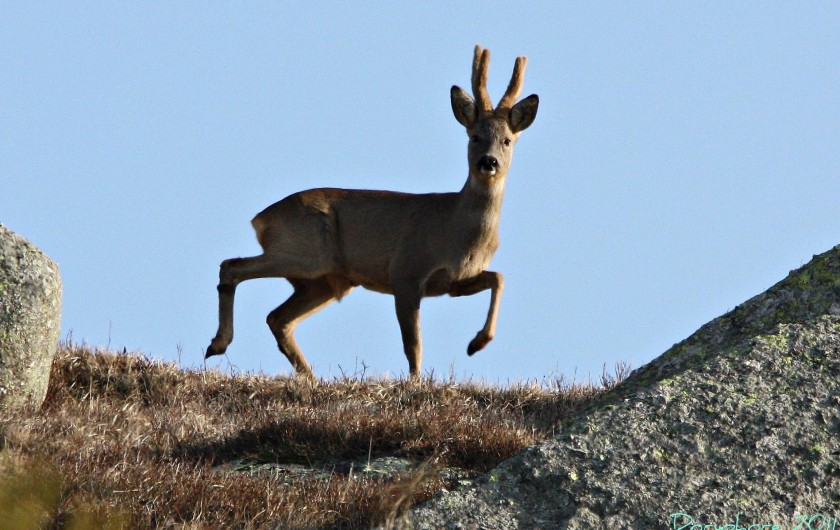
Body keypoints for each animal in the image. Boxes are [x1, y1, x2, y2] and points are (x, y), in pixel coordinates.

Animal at [207, 44, 540, 376]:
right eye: (474, 137)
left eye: (507, 140)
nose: (488, 162)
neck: (457, 229)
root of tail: (260, 220)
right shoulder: (406, 270)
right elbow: (413, 343)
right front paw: (417, 380)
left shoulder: (455, 282)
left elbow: (498, 278)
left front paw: (477, 343)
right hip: (305, 252)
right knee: (231, 266)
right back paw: (218, 344)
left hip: (324, 281)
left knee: (278, 318)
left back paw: (309, 376)